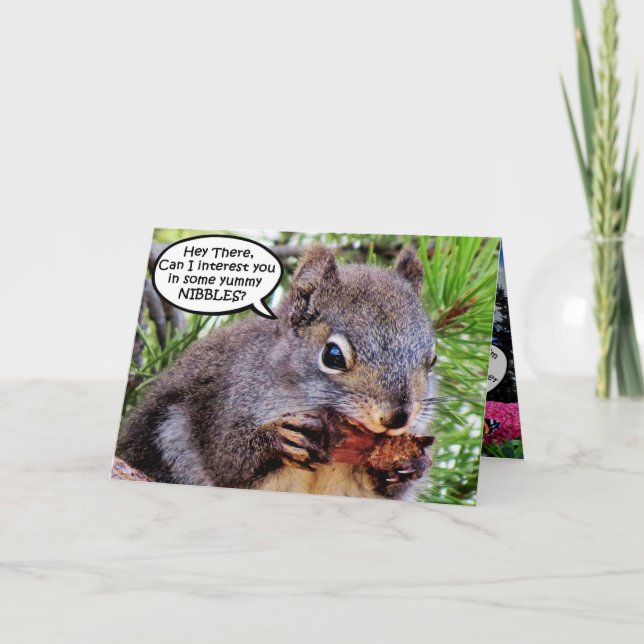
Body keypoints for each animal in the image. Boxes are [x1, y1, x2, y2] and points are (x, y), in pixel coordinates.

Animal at [116, 244, 437, 501]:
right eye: (333, 356)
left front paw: (409, 463)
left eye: (432, 359)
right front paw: (276, 441)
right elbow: (228, 462)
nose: (397, 417)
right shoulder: (224, 405)